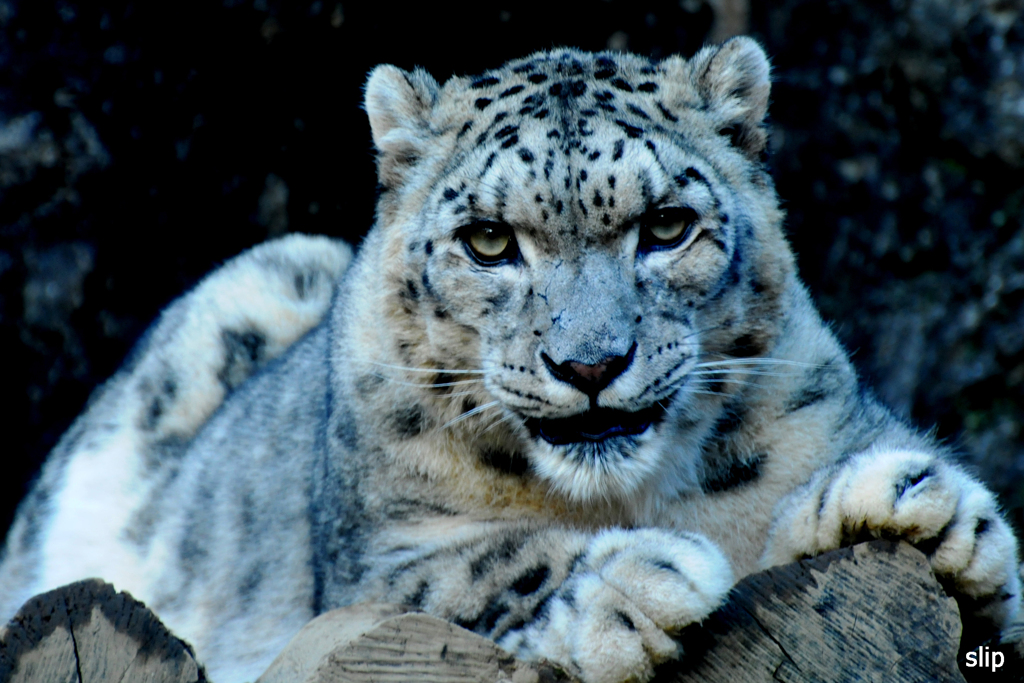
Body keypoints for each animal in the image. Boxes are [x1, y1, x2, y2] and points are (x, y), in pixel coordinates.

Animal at [0, 37, 1019, 683]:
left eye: (667, 226)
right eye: (489, 241)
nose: (590, 363)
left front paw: (922, 510)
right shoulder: (371, 564)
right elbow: (475, 567)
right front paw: (631, 586)